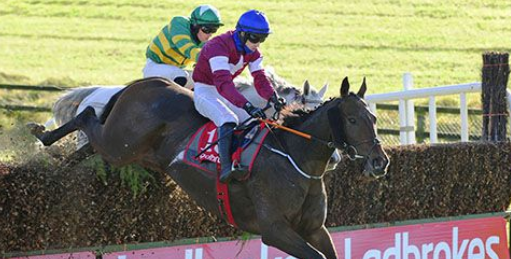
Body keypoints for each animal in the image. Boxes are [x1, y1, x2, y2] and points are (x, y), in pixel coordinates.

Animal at [29, 77, 388, 259]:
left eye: (372, 117)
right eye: (352, 119)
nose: (379, 162)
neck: (294, 157)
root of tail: (145, 82)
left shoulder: (314, 229)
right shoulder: (275, 230)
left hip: (128, 149)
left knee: (89, 140)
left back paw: (58, 162)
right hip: (120, 143)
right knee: (86, 115)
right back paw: (42, 135)